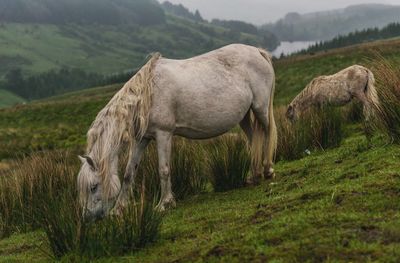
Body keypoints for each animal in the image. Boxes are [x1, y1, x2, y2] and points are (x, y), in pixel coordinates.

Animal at [78, 43, 278, 221]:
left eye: (93, 187)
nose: (87, 218)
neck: (147, 95)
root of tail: (258, 51)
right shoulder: (142, 139)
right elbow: (128, 174)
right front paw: (118, 209)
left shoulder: (163, 134)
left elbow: (163, 169)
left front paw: (164, 204)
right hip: (244, 117)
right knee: (254, 140)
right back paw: (254, 175)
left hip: (260, 109)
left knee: (268, 134)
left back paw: (268, 169)